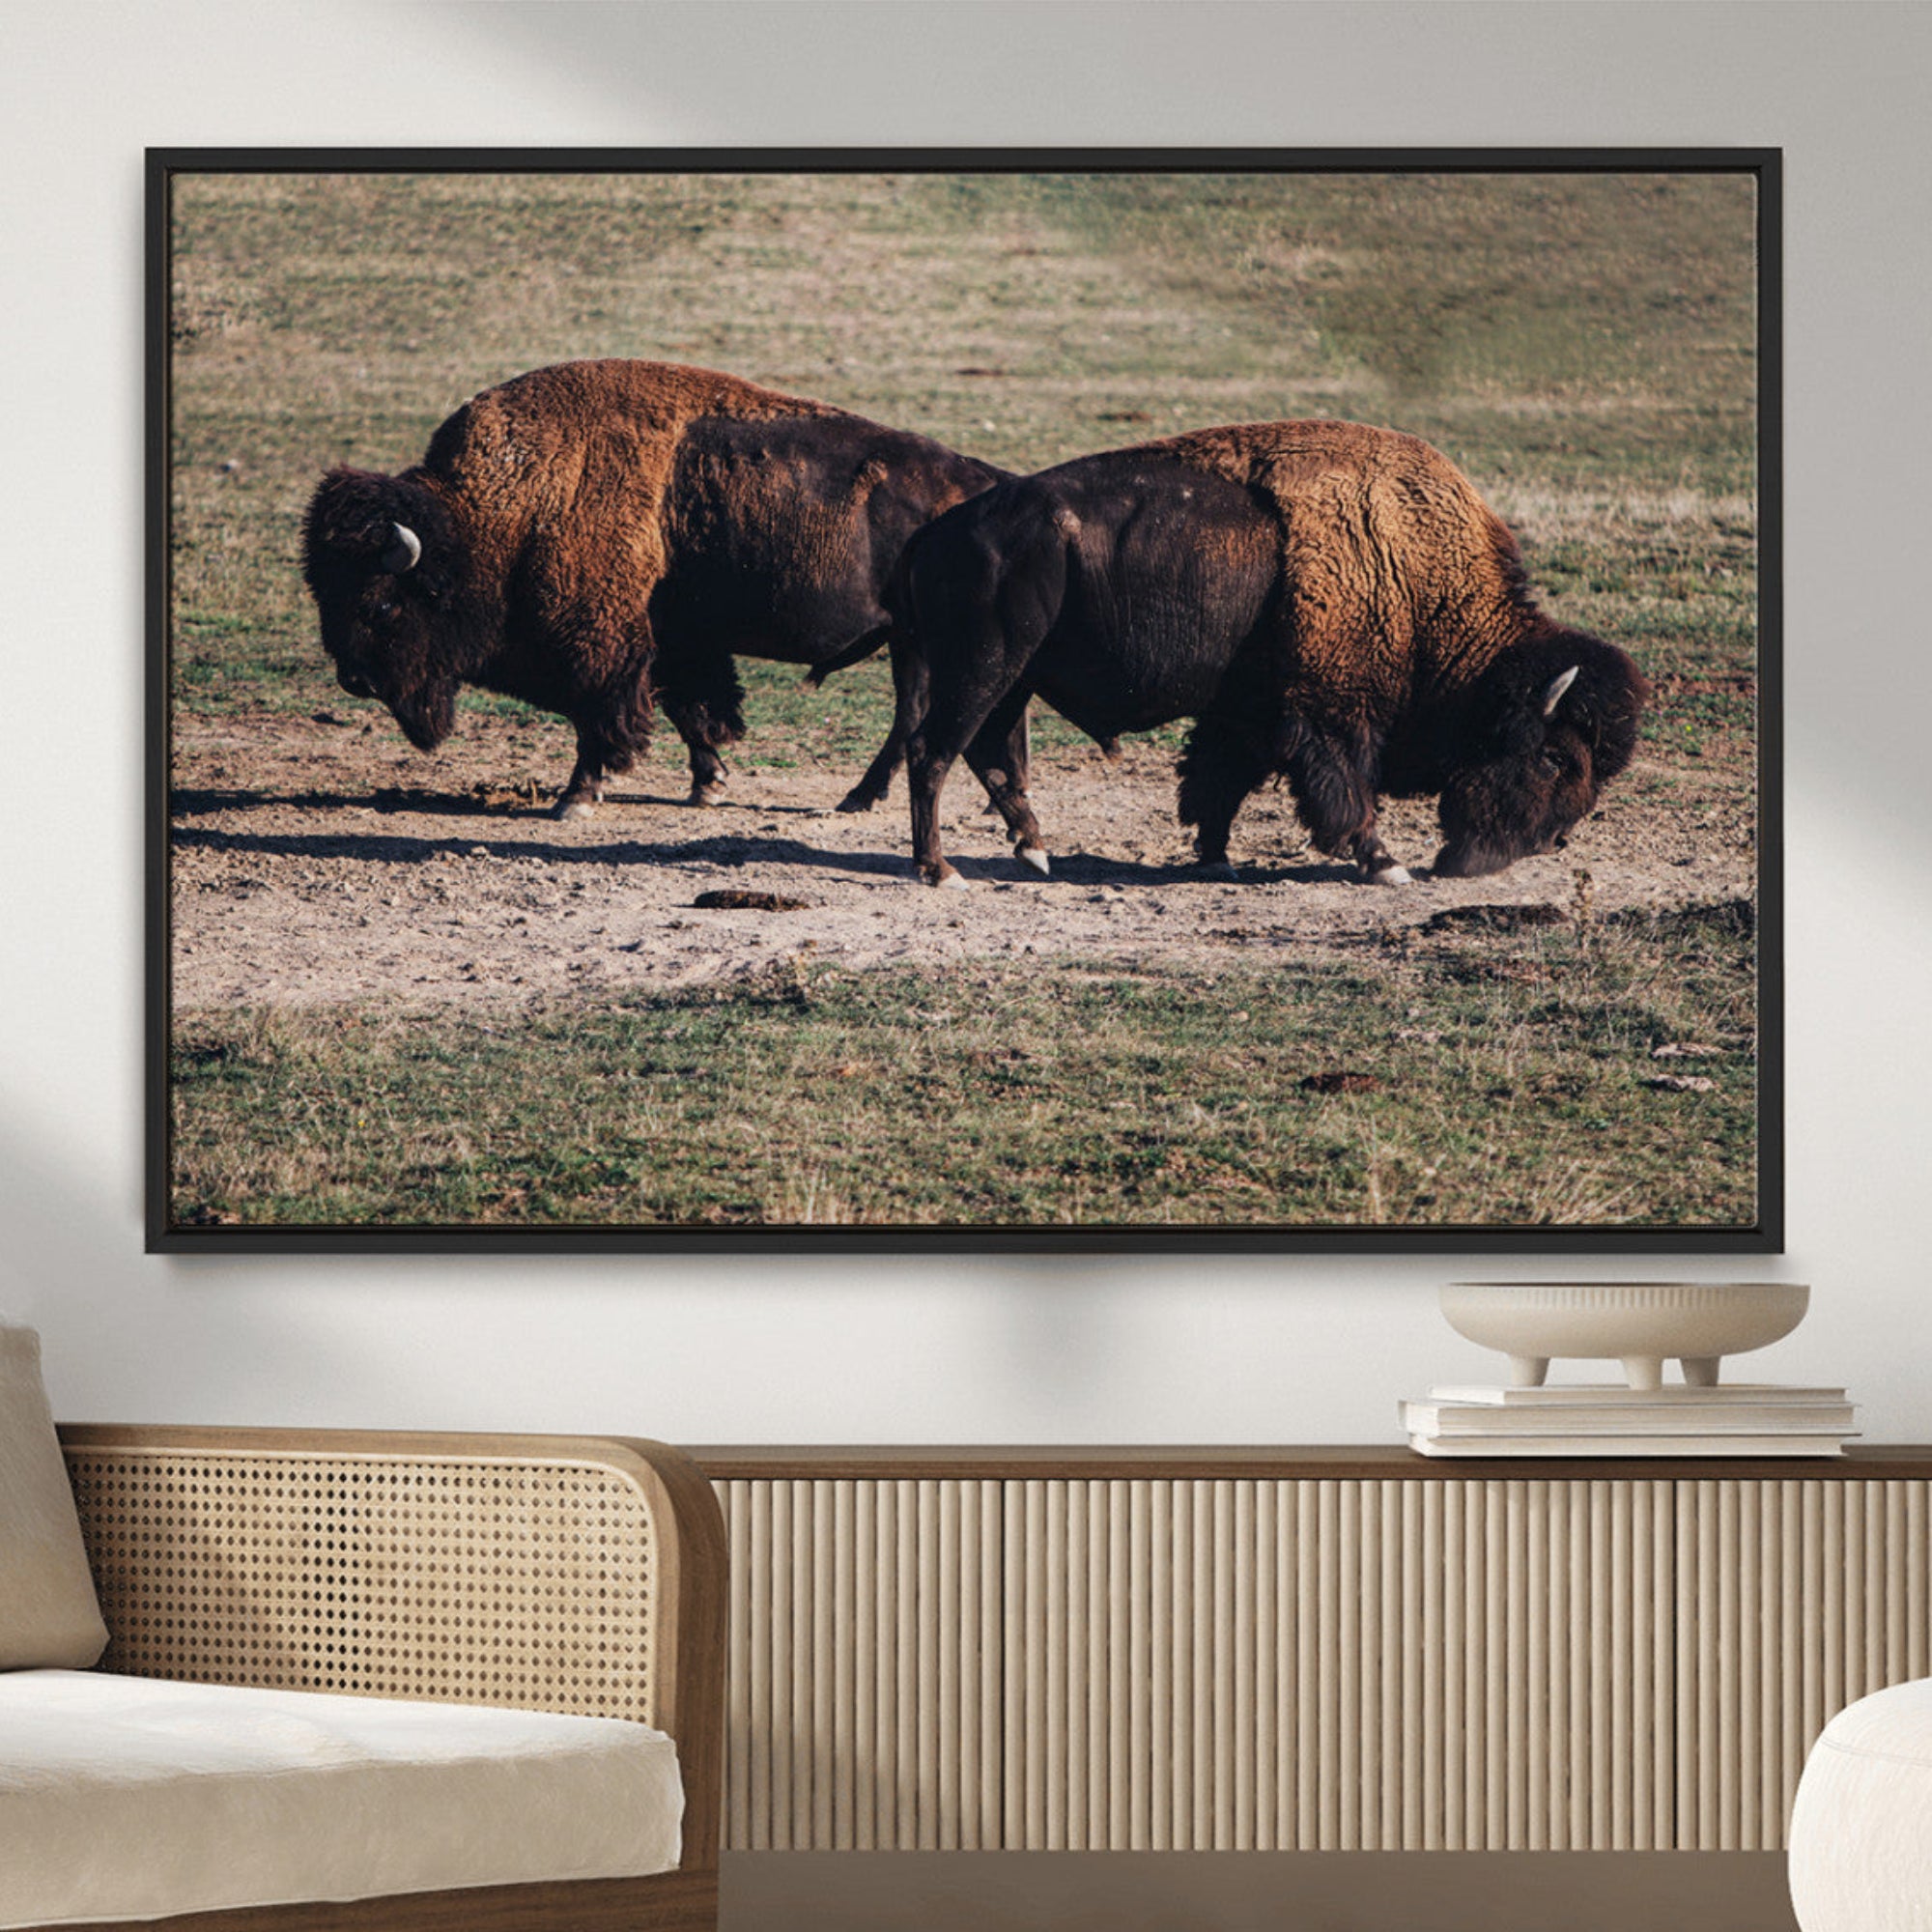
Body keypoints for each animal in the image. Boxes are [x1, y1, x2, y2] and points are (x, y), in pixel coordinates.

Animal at [302, 359, 1009, 818]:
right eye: (323, 593)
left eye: (383, 603)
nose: (355, 680)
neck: (500, 513)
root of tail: (986, 483)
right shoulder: (674, 641)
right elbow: (690, 710)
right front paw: (708, 785)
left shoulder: (601, 648)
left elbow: (601, 718)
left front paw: (575, 799)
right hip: (909, 642)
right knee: (915, 714)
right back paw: (867, 797)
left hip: (917, 642)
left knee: (913, 715)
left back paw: (860, 798)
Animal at [895, 419, 1649, 887]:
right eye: (1554, 757)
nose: (1547, 843)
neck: (1414, 577)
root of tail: (939, 531)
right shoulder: (1329, 716)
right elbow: (1344, 792)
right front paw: (1386, 864)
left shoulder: (1248, 714)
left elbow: (1217, 782)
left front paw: (1214, 859)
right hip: (983, 670)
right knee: (933, 752)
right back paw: (941, 871)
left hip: (1013, 679)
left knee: (989, 755)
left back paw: (1034, 852)